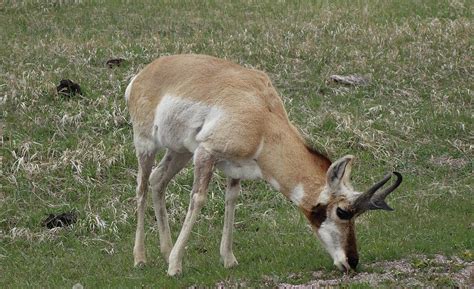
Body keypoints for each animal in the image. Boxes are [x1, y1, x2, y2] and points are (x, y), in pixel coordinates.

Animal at [124, 54, 402, 274]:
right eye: (342, 212)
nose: (352, 262)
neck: (263, 118)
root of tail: (145, 73)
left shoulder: (233, 167)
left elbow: (231, 199)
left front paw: (229, 259)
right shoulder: (206, 153)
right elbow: (198, 199)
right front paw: (175, 267)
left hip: (179, 152)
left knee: (158, 180)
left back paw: (165, 251)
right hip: (147, 146)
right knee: (142, 188)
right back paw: (140, 259)